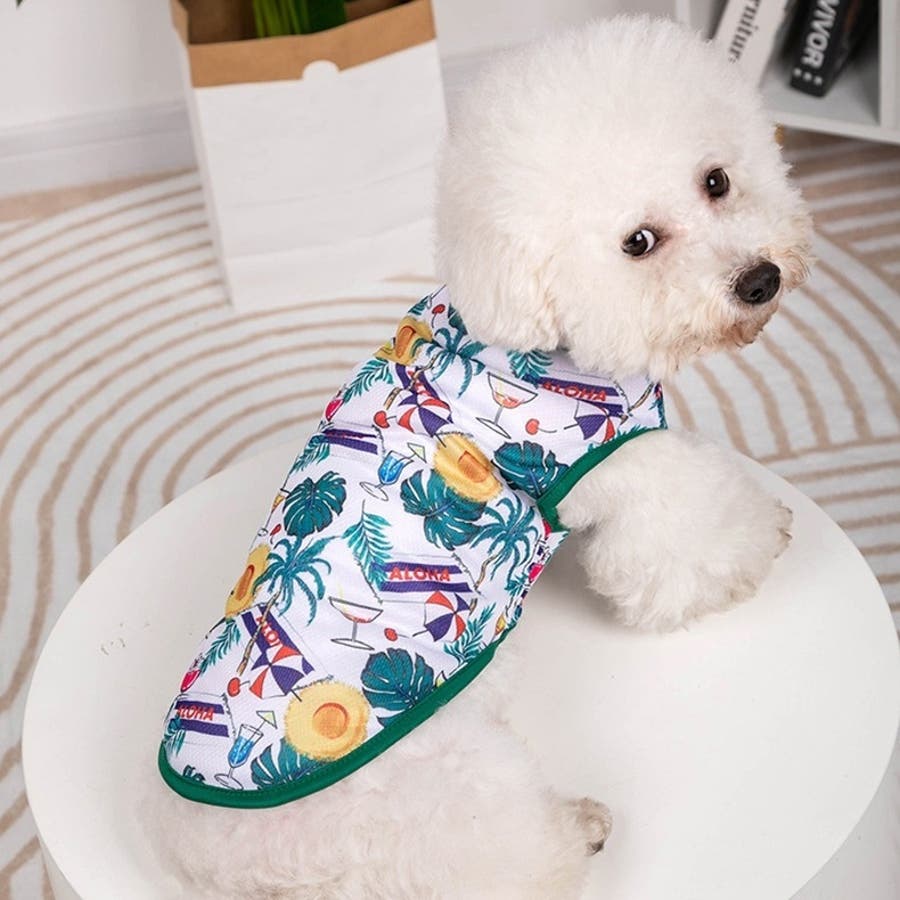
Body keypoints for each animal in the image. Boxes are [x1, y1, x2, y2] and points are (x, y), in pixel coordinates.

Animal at [147, 16, 812, 898]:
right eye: (638, 242)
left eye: (717, 181)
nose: (758, 278)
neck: (540, 341)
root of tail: (213, 857)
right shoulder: (622, 471)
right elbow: (690, 538)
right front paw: (763, 536)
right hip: (438, 787)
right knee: (498, 854)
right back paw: (576, 832)